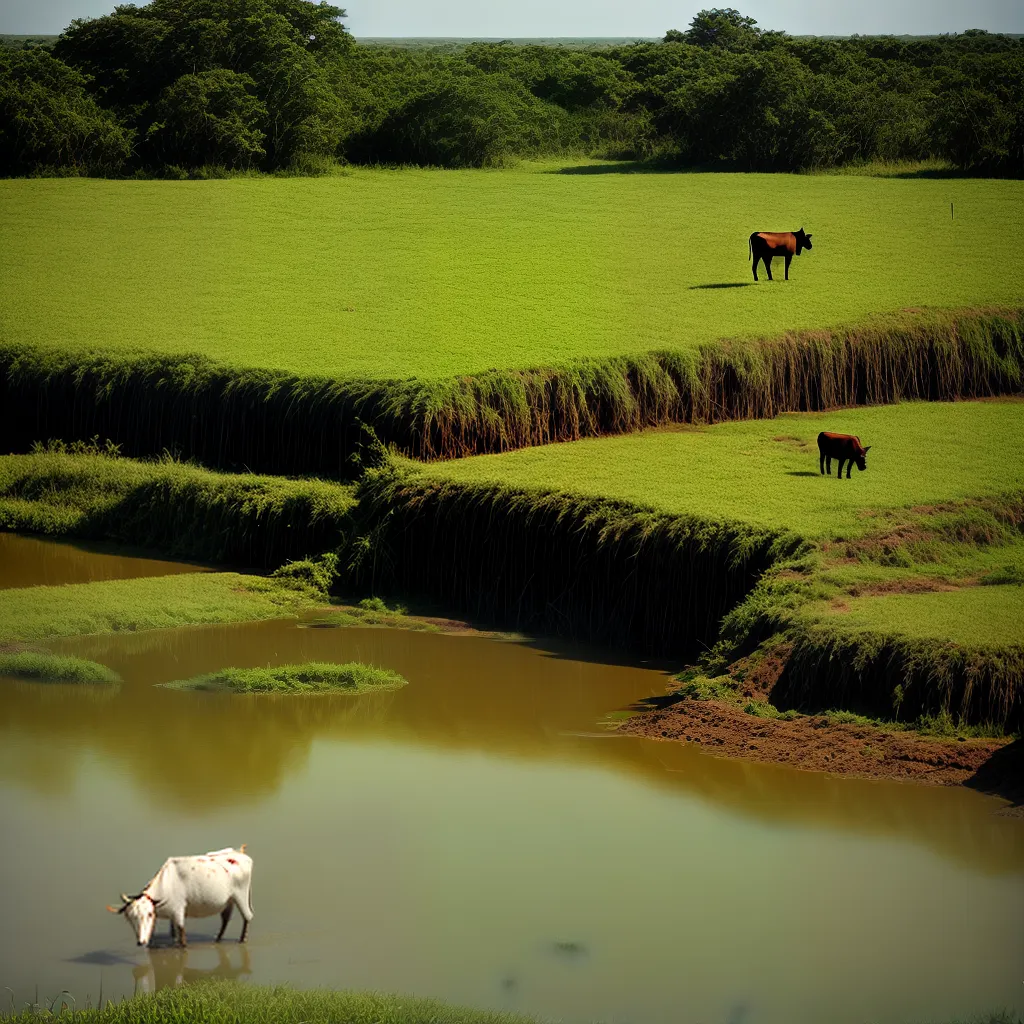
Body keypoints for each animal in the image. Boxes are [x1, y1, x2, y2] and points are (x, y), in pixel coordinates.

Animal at [108, 846, 253, 948]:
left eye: (149, 914)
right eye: (130, 918)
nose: (141, 942)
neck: (165, 885)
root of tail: (241, 854)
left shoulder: (178, 913)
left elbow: (182, 939)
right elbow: (172, 934)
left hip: (241, 896)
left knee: (248, 916)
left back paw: (242, 940)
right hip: (229, 900)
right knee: (226, 918)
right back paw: (217, 939)